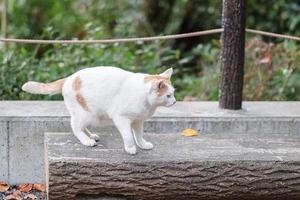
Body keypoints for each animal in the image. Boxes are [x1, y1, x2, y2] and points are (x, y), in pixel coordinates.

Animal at [22, 67, 176, 155]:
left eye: (173, 93)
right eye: (168, 95)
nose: (174, 102)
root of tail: (69, 78)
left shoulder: (138, 121)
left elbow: (138, 135)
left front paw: (142, 145)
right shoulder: (121, 118)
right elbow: (128, 136)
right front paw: (130, 148)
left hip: (90, 116)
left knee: (81, 126)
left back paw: (91, 136)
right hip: (85, 113)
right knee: (75, 127)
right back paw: (86, 140)